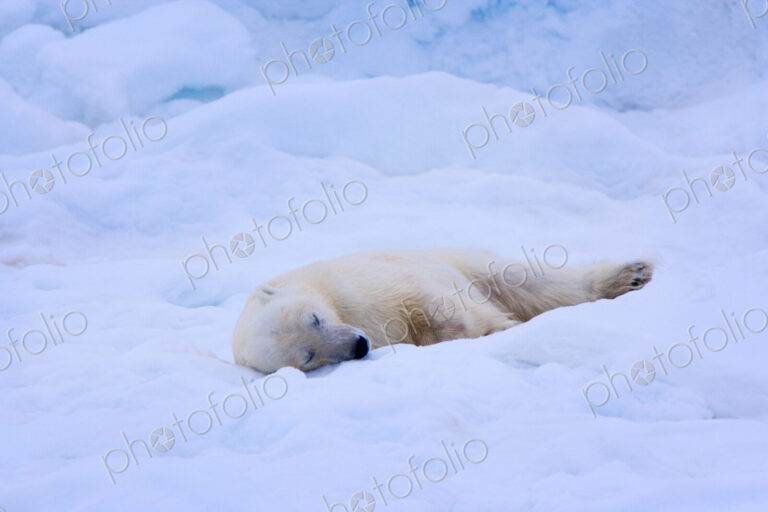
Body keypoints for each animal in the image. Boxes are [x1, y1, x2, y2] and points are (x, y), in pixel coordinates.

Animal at [233, 249, 653, 373]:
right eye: (308, 355)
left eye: (314, 318)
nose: (359, 346)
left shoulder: (355, 286)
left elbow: (426, 300)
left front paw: (493, 328)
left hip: (461, 261)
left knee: (530, 282)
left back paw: (631, 274)